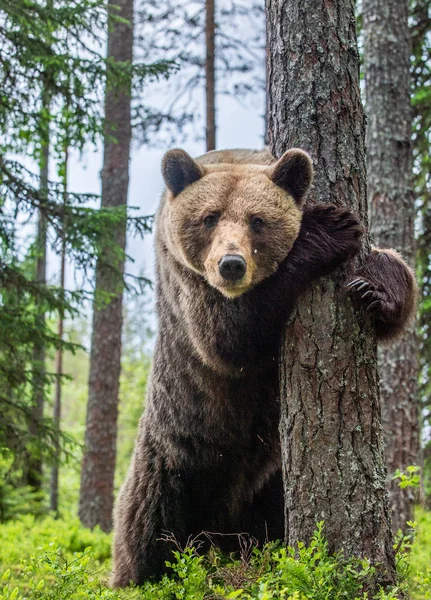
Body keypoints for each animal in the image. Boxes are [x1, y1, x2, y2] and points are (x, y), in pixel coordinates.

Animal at [111, 148, 418, 588]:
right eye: (209, 217)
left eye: (257, 220)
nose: (231, 264)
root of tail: (222, 527)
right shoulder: (188, 286)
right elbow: (229, 337)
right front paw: (327, 228)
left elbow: (391, 289)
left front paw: (374, 285)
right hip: (173, 464)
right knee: (148, 533)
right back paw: (140, 576)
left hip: (271, 483)